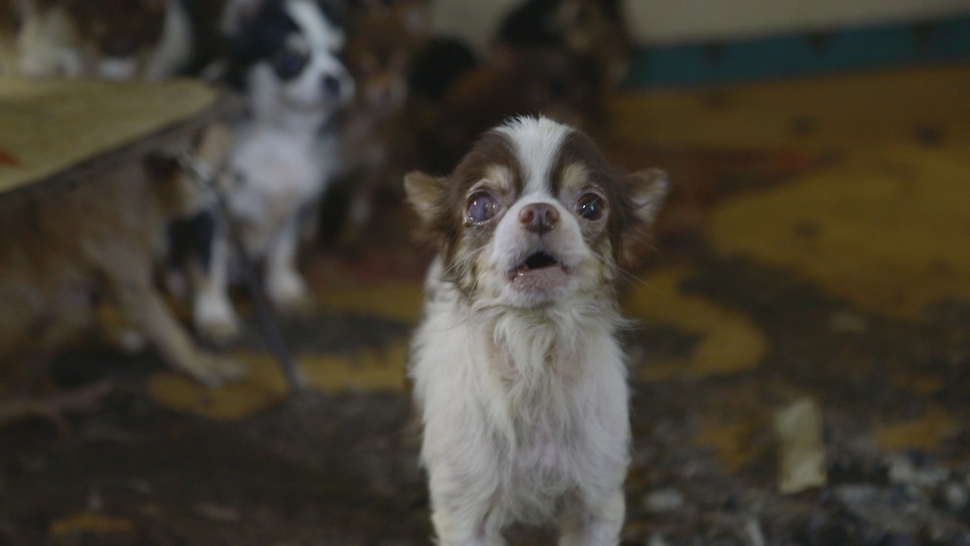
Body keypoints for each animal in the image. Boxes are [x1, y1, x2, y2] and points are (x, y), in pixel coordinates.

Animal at [187, 0, 354, 340]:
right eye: (291, 61)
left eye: (339, 54)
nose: (334, 78)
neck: (282, 132)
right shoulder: (211, 210)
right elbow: (210, 267)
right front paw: (214, 316)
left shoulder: (297, 203)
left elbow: (284, 252)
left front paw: (286, 292)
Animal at [402, 116, 664, 544]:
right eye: (480, 205)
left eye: (592, 206)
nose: (540, 212)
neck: (533, 351)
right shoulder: (466, 515)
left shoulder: (596, 504)